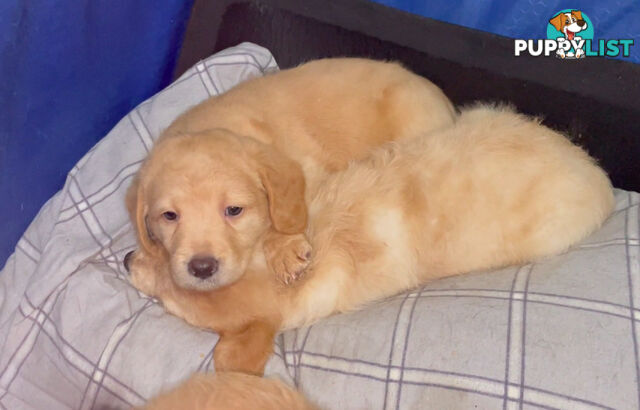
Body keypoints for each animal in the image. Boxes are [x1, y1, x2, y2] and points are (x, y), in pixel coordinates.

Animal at [125, 58, 456, 288]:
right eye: (169, 216)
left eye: (234, 210)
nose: (202, 268)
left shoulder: (310, 172)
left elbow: (287, 213)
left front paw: (284, 251)